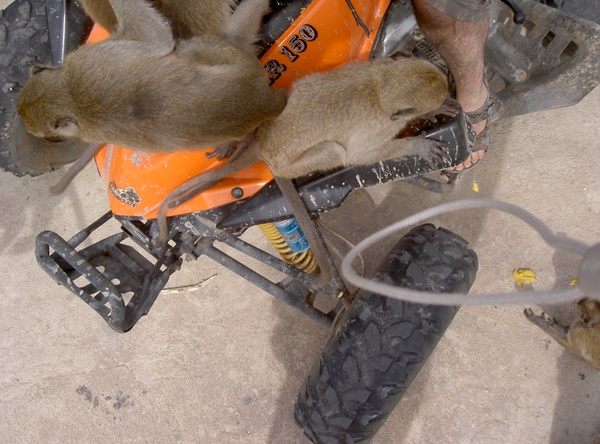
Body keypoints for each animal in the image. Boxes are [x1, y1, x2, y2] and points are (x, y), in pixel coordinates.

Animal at [16, 0, 284, 195]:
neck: (67, 97)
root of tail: (262, 104)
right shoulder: (94, 56)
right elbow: (155, 38)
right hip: (240, 62)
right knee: (194, 44)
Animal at [157, 57, 452, 282]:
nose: (449, 94)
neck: (380, 88)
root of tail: (265, 147)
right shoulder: (378, 126)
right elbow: (361, 155)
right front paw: (418, 144)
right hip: (295, 162)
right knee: (334, 151)